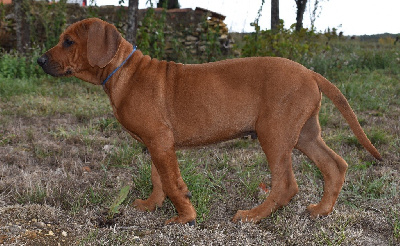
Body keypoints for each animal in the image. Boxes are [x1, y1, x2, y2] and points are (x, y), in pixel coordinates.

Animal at [38, 17, 382, 225]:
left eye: (68, 41)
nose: (39, 60)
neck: (124, 72)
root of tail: (311, 72)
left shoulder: (160, 140)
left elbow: (173, 183)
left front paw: (184, 217)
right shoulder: (156, 142)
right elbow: (158, 178)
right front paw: (151, 205)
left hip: (274, 134)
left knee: (287, 183)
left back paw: (253, 215)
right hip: (304, 134)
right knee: (335, 165)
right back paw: (321, 211)